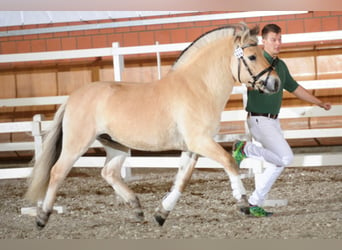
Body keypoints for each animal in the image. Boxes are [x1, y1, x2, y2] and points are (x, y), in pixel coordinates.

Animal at [24, 23, 280, 229]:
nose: (275, 83)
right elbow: (229, 162)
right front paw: (243, 202)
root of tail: (72, 98)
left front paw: (161, 213)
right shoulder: (201, 141)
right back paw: (42, 217)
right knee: (57, 172)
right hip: (77, 143)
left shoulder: (192, 147)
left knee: (109, 172)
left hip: (116, 145)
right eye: (253, 56)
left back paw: (137, 208)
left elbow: (182, 180)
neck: (198, 87)